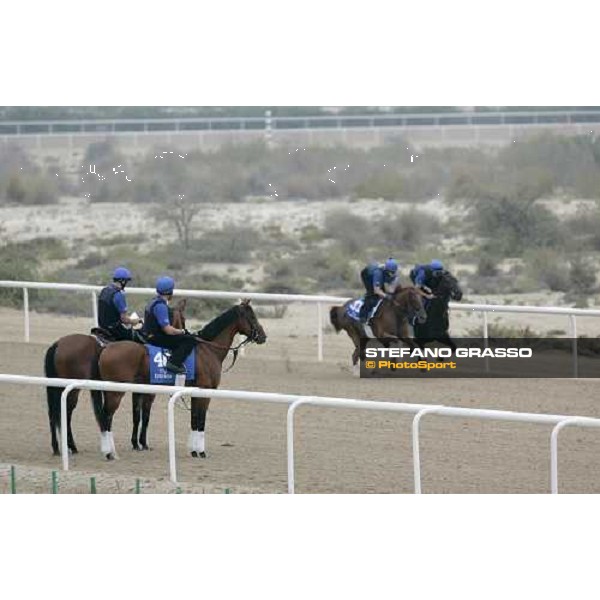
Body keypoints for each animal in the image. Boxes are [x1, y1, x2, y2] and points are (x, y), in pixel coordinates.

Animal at [42, 300, 185, 454]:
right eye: (183, 319)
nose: (183, 330)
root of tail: (58, 344)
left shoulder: (137, 390)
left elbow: (136, 415)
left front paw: (135, 443)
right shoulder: (149, 391)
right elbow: (145, 416)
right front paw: (143, 443)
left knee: (54, 412)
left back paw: (57, 447)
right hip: (74, 389)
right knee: (68, 412)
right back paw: (73, 446)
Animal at [95, 298, 264, 460]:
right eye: (252, 317)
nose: (263, 336)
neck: (208, 349)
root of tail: (106, 348)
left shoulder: (195, 393)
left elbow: (194, 419)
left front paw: (194, 451)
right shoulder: (205, 392)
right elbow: (201, 420)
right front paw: (201, 452)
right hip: (116, 392)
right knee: (106, 417)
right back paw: (109, 453)